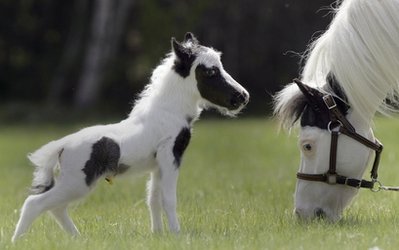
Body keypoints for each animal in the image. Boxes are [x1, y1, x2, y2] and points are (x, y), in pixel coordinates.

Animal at [11, 32, 250, 241]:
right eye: (210, 72)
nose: (243, 96)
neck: (168, 112)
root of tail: (62, 145)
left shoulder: (157, 165)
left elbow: (153, 199)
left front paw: (158, 235)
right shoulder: (170, 156)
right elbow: (168, 199)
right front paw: (177, 235)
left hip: (74, 183)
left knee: (56, 208)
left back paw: (78, 239)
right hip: (77, 182)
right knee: (34, 203)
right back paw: (17, 241)